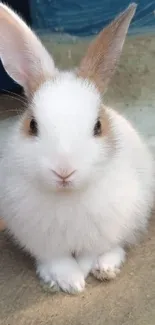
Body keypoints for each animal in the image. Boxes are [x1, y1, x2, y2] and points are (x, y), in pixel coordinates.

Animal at [0, 2, 154, 292]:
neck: (66, 196)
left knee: (117, 245)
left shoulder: (102, 230)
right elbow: (58, 260)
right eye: (33, 125)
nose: (64, 171)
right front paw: (71, 282)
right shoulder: (43, 242)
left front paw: (83, 274)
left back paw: (106, 268)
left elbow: (88, 255)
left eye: (97, 126)